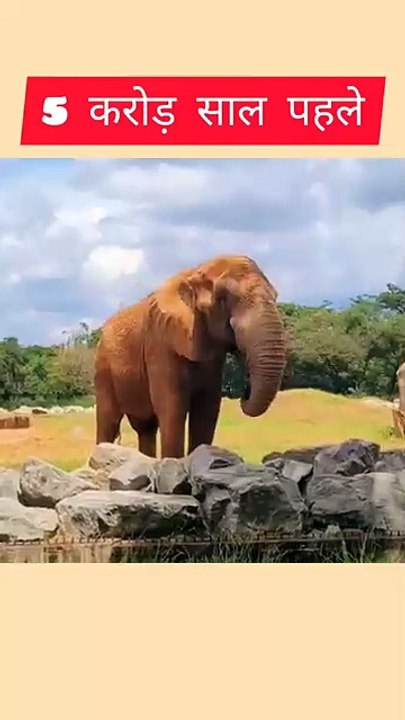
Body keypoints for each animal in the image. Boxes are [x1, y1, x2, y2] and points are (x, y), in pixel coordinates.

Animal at [94, 254, 287, 459]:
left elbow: (206, 409)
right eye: (223, 298)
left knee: (146, 428)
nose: (245, 392)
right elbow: (171, 407)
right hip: (103, 369)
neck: (194, 274)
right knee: (109, 420)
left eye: (275, 296)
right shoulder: (160, 342)